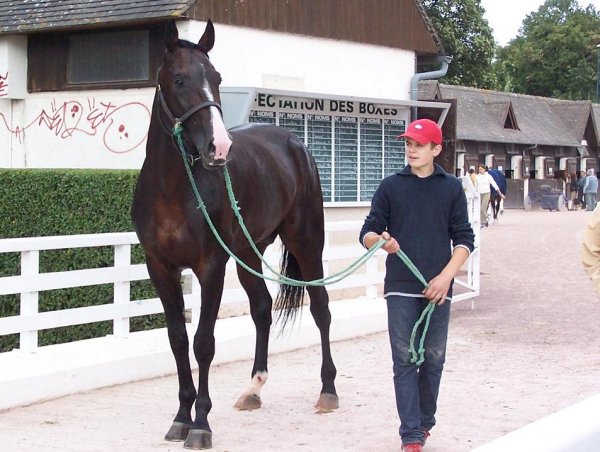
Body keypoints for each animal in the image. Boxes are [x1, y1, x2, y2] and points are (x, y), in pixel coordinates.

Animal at [131, 20, 338, 448]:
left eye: (216, 78)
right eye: (179, 79)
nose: (219, 146)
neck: (174, 189)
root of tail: (295, 144)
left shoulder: (211, 266)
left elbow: (203, 344)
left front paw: (201, 425)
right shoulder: (159, 268)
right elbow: (178, 340)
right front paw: (181, 416)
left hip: (307, 245)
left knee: (321, 308)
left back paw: (328, 390)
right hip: (248, 253)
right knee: (262, 309)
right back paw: (253, 390)